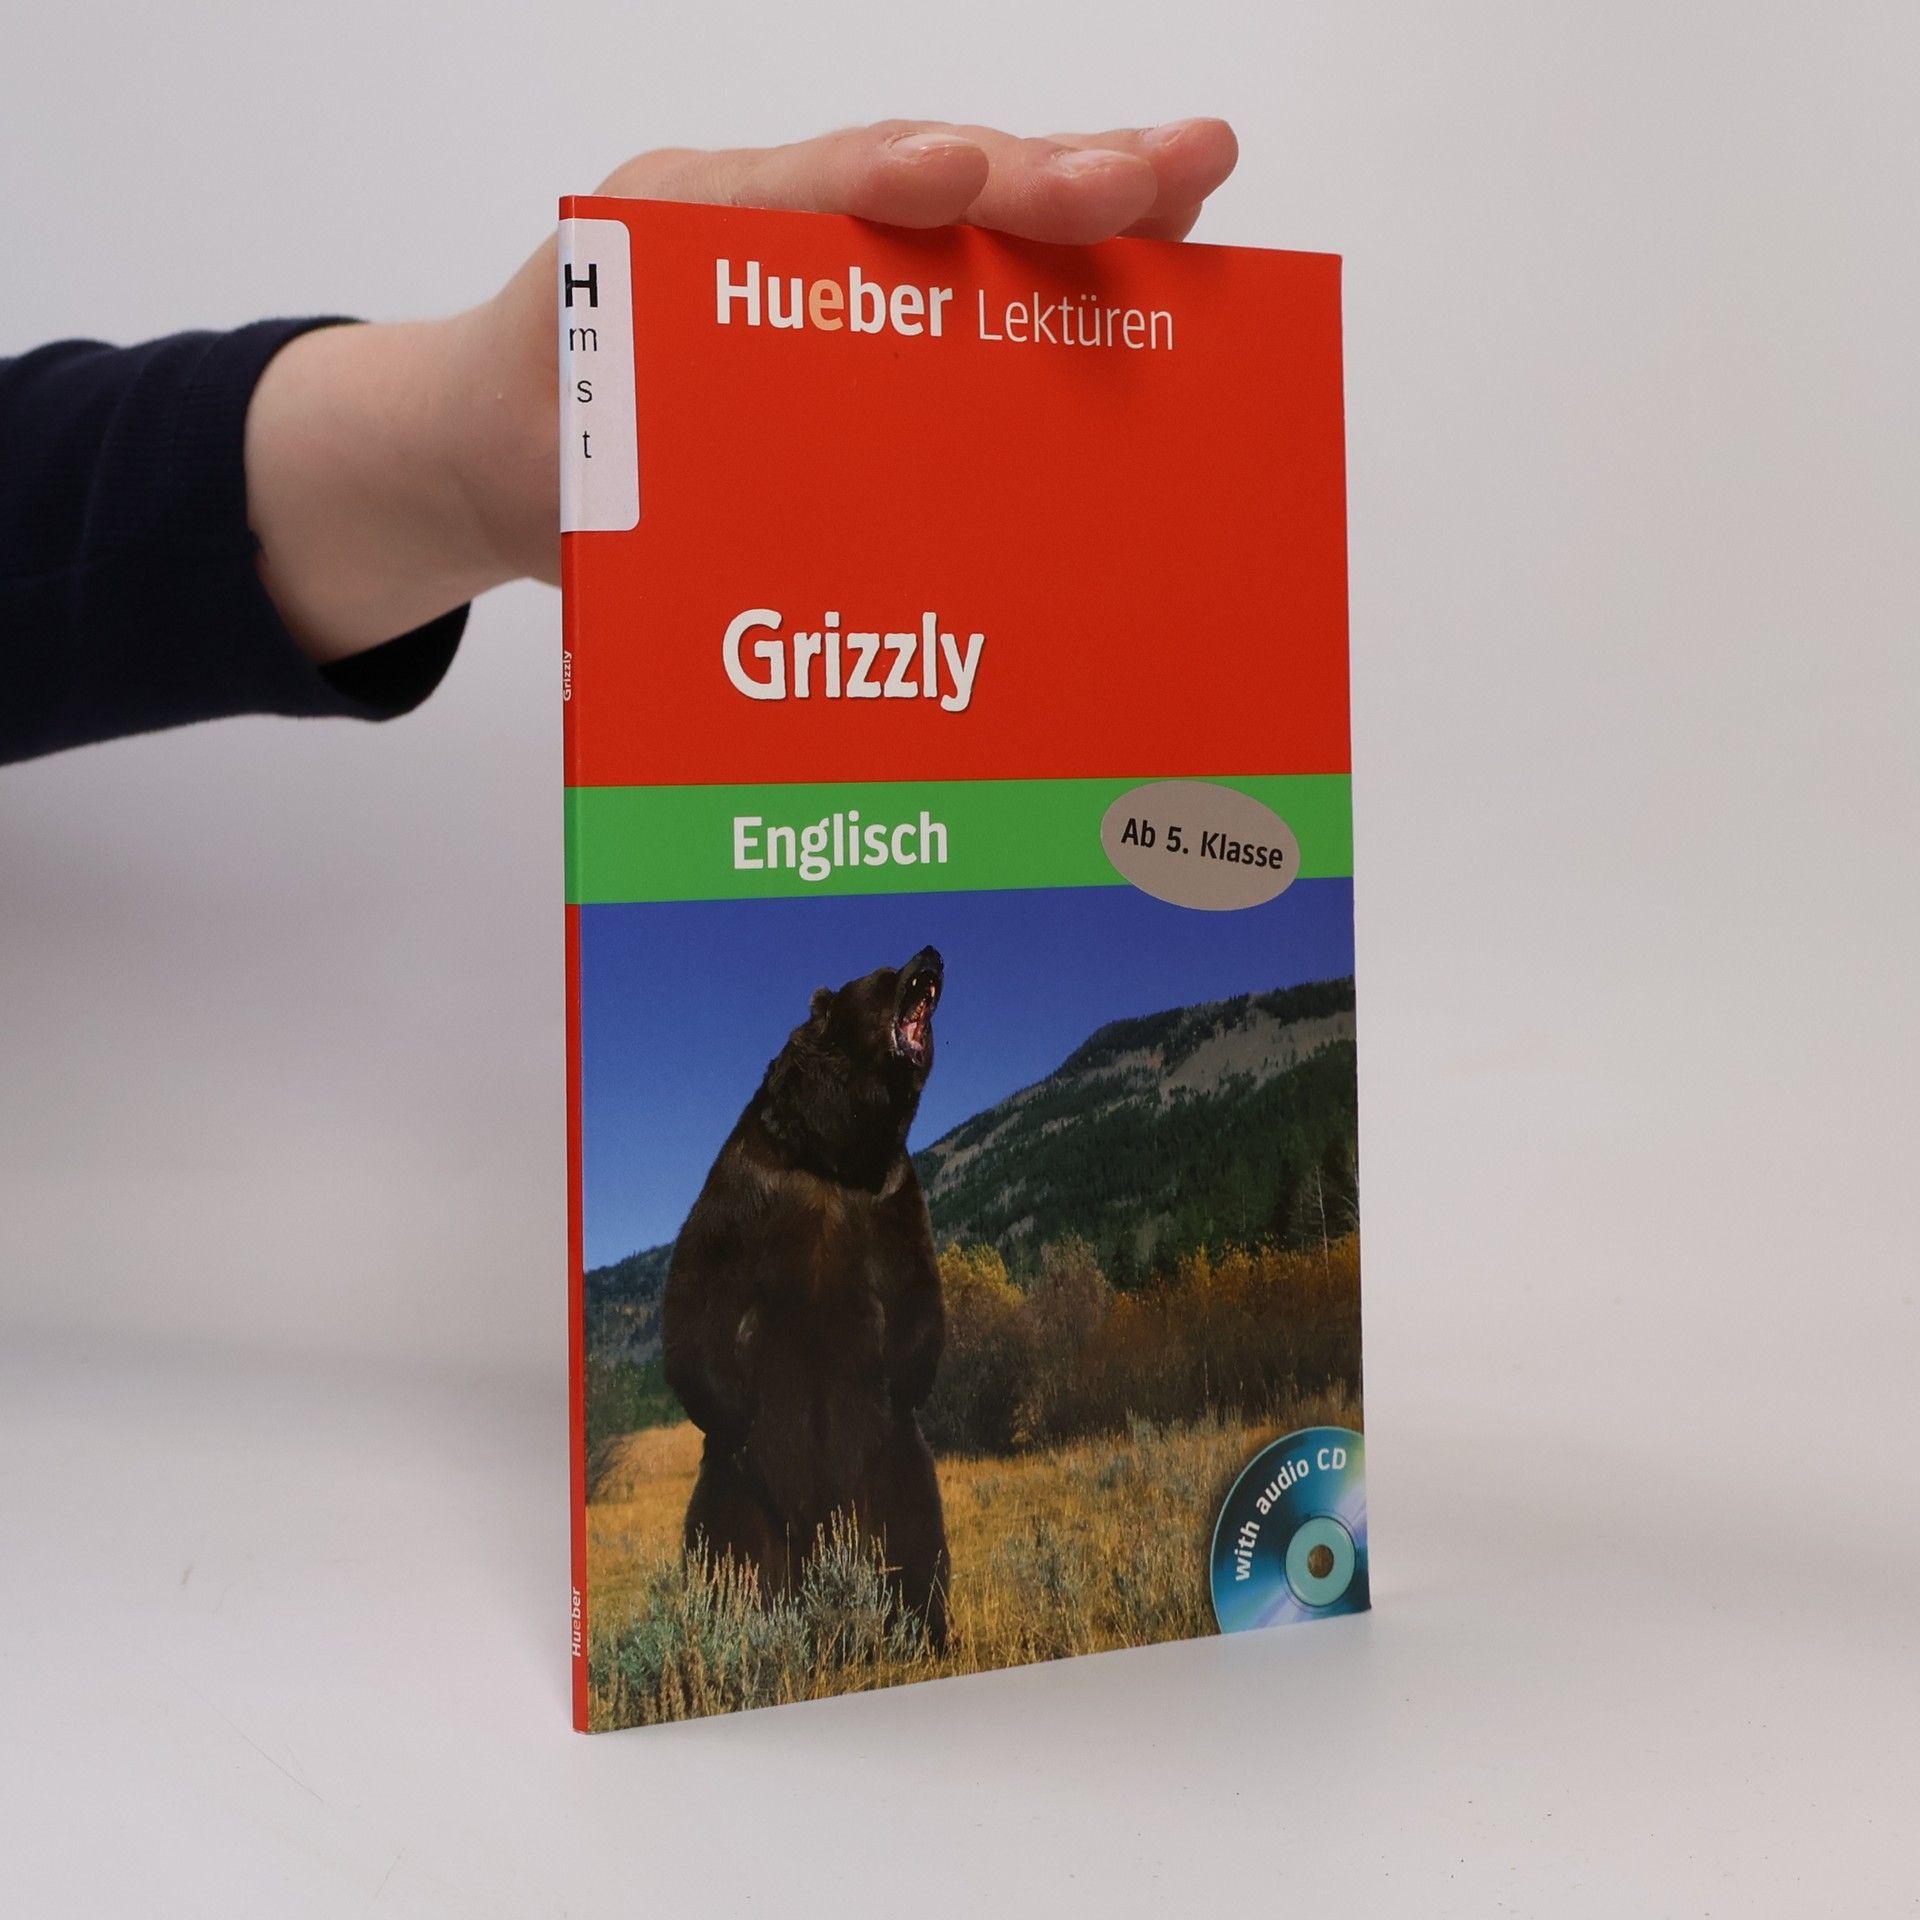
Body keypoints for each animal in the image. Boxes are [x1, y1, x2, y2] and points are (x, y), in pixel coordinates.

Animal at [660, 944, 950, 1648]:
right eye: (884, 973)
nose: (932, 953)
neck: (835, 1155)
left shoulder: (892, 1195)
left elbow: (915, 1289)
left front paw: (904, 1370)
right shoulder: (747, 1183)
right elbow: (697, 1289)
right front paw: (728, 1402)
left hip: (890, 1467)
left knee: (917, 1541)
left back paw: (924, 1628)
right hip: (737, 1493)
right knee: (722, 1554)